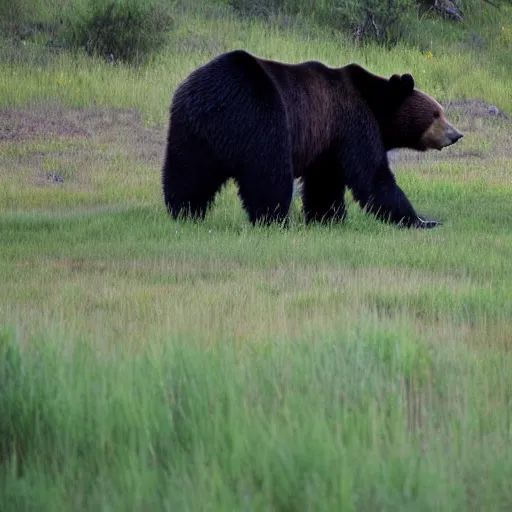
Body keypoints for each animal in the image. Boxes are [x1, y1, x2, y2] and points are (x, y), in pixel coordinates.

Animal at [162, 48, 462, 228]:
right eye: (436, 113)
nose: (456, 134)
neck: (375, 105)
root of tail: (212, 101)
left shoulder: (328, 139)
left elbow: (324, 183)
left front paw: (326, 217)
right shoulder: (352, 123)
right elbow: (372, 176)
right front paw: (421, 220)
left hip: (190, 130)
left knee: (187, 173)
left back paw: (184, 211)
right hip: (262, 116)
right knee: (269, 175)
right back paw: (274, 220)